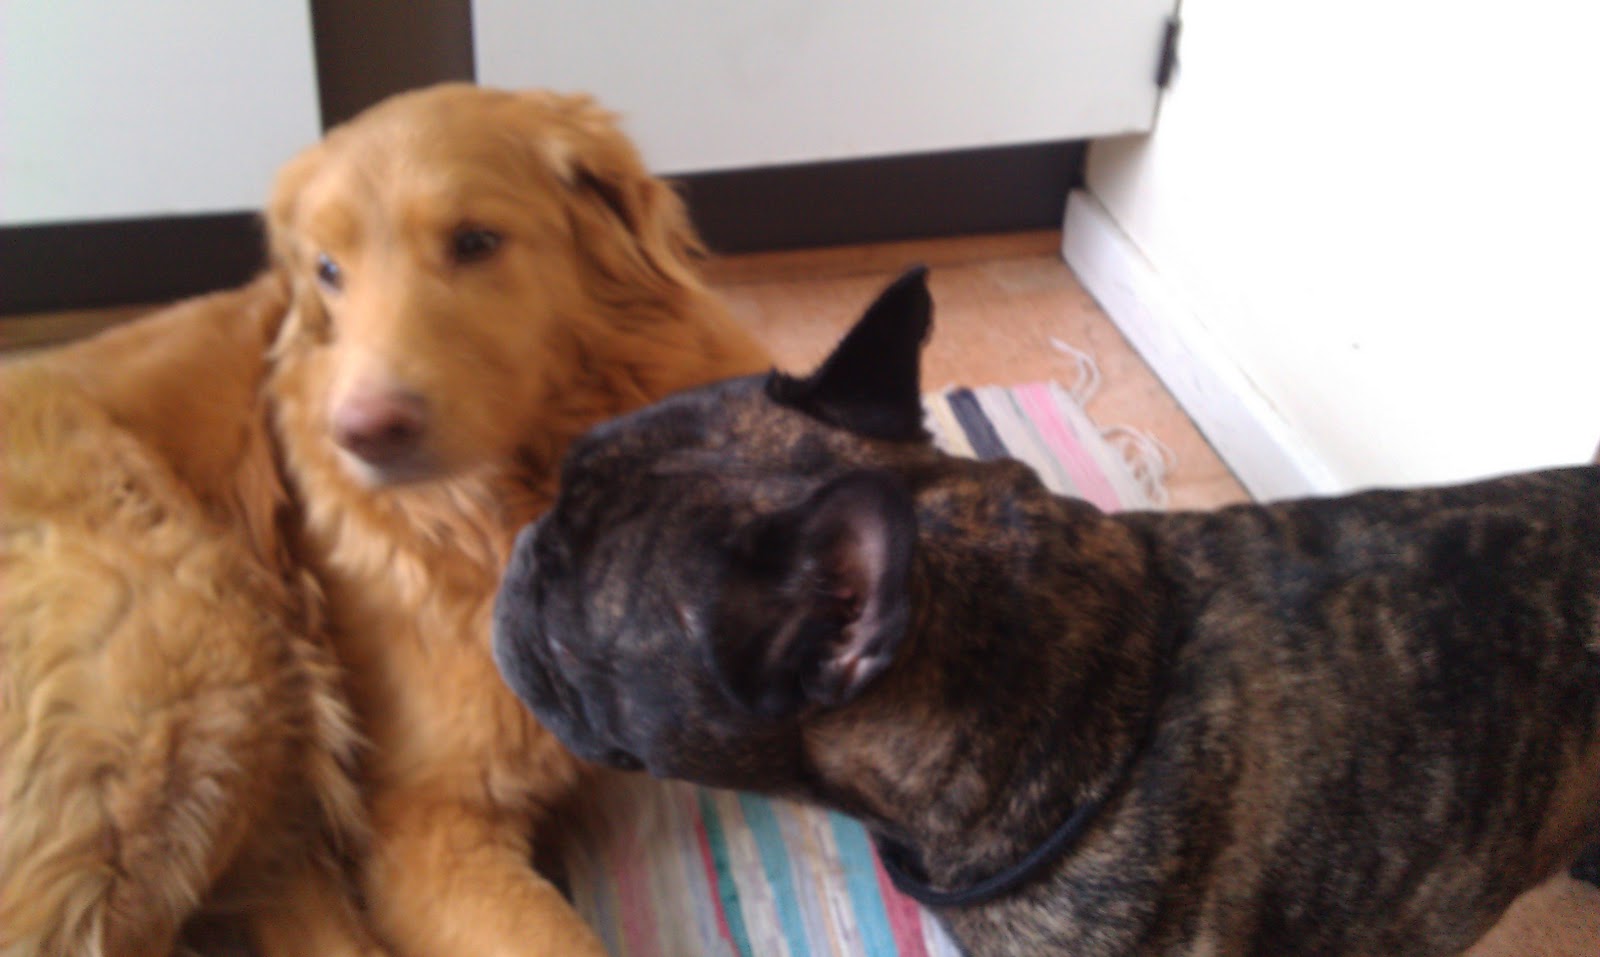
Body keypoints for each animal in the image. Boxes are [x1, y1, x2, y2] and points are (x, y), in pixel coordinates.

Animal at [2, 83, 769, 956]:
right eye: (329, 271)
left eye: (475, 241)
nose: (364, 431)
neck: (514, 505)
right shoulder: (427, 823)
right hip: (202, 647)